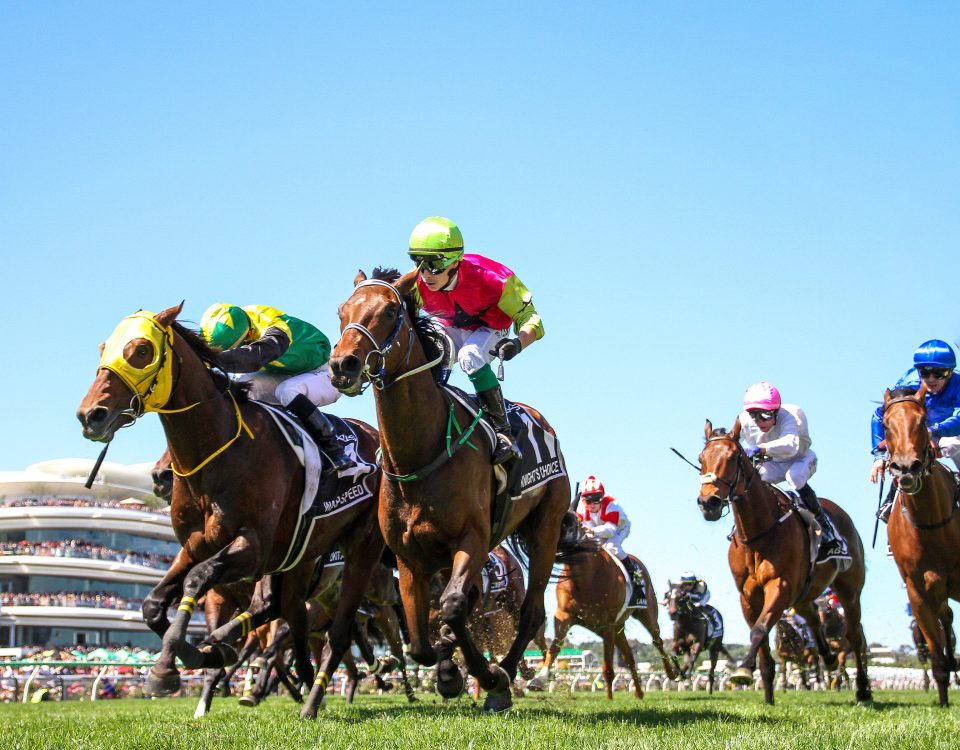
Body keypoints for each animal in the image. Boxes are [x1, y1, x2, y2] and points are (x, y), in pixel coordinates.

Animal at [78, 306, 386, 724]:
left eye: (141, 350)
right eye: (102, 348)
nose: (90, 415)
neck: (218, 448)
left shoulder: (253, 547)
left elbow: (196, 580)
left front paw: (171, 667)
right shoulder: (195, 545)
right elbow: (153, 604)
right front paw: (202, 654)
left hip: (361, 547)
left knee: (335, 632)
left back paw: (315, 695)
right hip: (301, 557)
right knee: (292, 615)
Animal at [326, 270, 592, 716]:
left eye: (391, 310)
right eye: (342, 311)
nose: (342, 364)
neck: (419, 454)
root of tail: (540, 420)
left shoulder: (472, 538)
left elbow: (452, 608)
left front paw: (486, 677)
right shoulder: (409, 558)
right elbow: (421, 643)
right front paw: (448, 671)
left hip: (545, 528)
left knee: (531, 614)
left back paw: (504, 675)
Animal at [524, 548, 676, 700]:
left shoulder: (607, 625)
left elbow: (608, 668)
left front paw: (610, 699)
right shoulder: (564, 616)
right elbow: (554, 649)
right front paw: (539, 679)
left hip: (647, 613)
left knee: (657, 640)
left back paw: (671, 673)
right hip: (618, 628)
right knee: (629, 657)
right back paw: (639, 692)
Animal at [692, 420, 872, 708]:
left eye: (732, 457)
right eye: (701, 458)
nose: (708, 503)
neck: (758, 532)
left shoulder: (781, 585)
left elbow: (759, 629)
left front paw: (743, 670)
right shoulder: (748, 594)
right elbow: (763, 640)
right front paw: (767, 694)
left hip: (850, 590)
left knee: (854, 637)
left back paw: (863, 691)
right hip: (804, 592)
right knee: (813, 617)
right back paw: (829, 658)